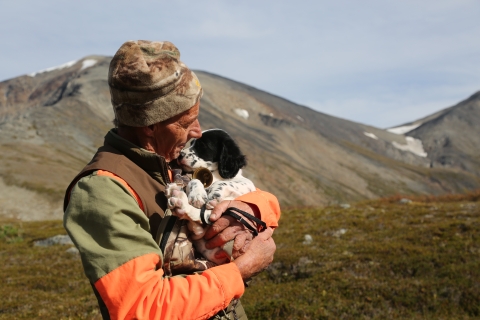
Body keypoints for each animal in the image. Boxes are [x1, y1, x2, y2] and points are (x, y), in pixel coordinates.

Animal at [165, 129, 255, 264]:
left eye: (202, 146)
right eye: (191, 143)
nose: (179, 155)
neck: (214, 175)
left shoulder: (249, 185)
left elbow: (225, 183)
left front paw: (214, 194)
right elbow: (194, 180)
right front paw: (197, 195)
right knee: (200, 225)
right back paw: (177, 195)